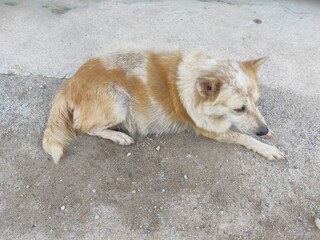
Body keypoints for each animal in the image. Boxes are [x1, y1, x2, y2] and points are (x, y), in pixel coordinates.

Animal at [43, 45, 284, 163]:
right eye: (239, 108)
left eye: (257, 102)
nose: (263, 131)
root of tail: (69, 84)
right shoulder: (210, 130)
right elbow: (242, 136)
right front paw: (267, 148)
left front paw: (268, 130)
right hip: (119, 101)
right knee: (84, 127)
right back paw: (118, 136)